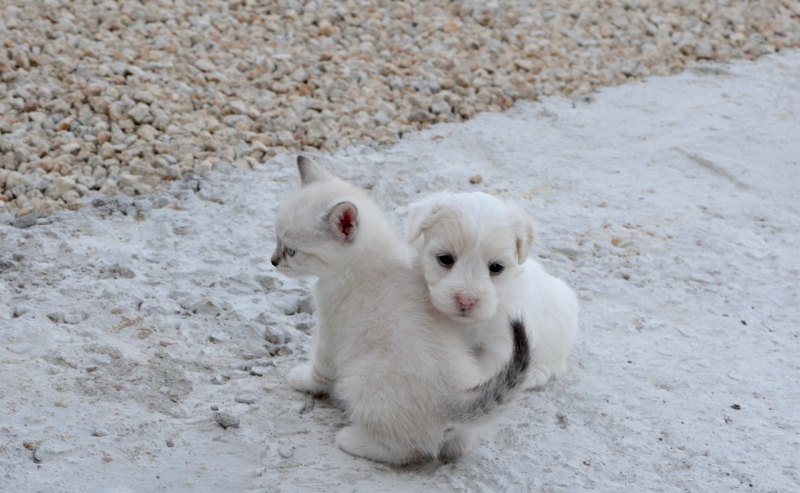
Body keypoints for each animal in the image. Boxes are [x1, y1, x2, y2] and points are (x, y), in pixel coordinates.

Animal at [274, 158, 532, 466]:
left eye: (291, 251)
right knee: (458, 444)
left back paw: (352, 440)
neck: (368, 260)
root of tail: (450, 399)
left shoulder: (329, 332)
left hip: (360, 380)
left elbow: (319, 371)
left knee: (407, 450)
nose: (273, 261)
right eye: (275, 238)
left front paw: (302, 380)